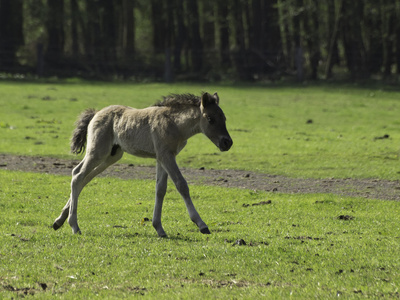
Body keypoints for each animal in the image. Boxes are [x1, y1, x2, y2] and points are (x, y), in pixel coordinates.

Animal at [54, 92, 234, 238]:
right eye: (210, 119)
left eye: (224, 118)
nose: (227, 143)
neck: (174, 124)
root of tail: (95, 113)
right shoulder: (166, 156)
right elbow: (181, 185)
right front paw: (201, 224)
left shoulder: (162, 157)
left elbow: (160, 189)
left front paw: (159, 228)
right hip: (97, 152)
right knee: (78, 176)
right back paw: (74, 226)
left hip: (111, 155)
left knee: (82, 176)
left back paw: (59, 221)